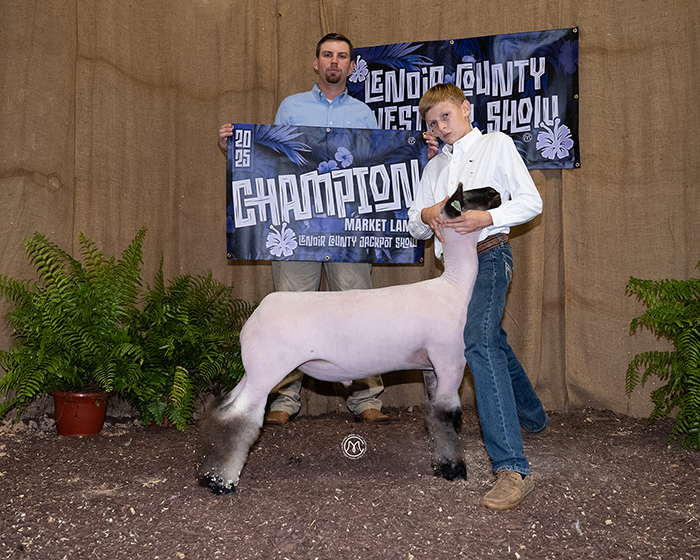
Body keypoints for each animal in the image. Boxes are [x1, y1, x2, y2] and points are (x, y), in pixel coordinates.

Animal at [198, 185, 502, 494]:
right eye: (468, 196)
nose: (495, 191)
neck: (453, 287)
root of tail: (255, 315)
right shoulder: (450, 362)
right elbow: (448, 416)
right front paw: (455, 470)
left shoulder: (431, 368)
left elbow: (433, 416)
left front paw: (441, 465)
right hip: (267, 372)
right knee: (239, 418)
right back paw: (221, 482)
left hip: (253, 371)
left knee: (224, 409)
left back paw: (207, 475)